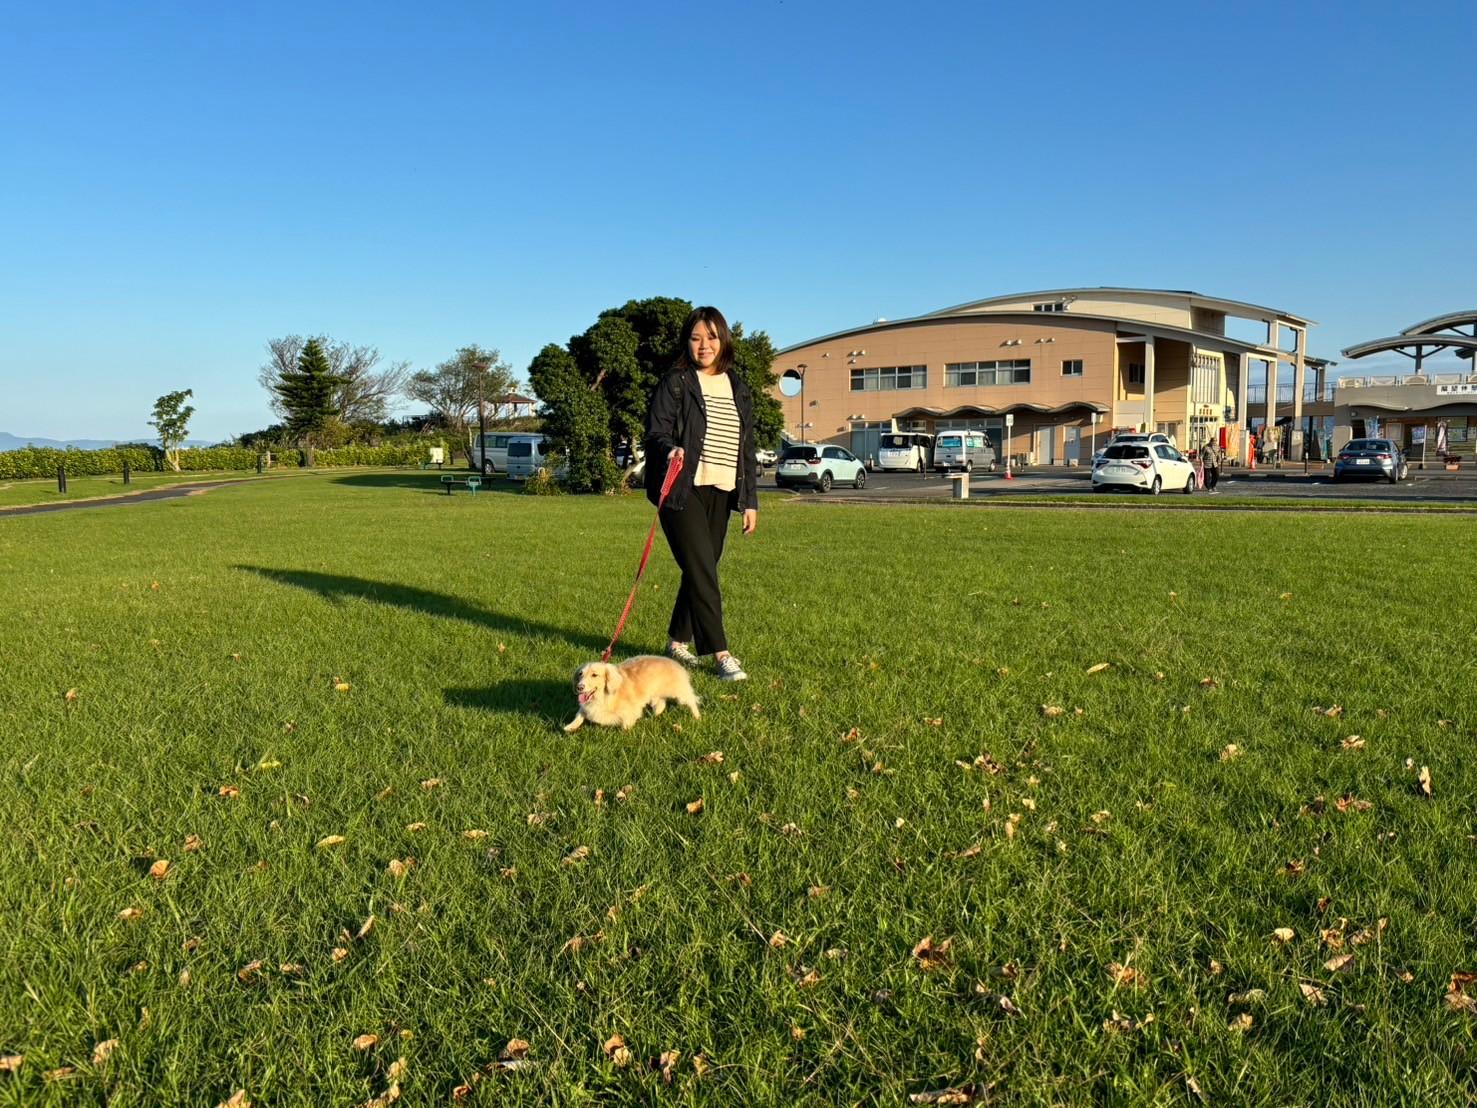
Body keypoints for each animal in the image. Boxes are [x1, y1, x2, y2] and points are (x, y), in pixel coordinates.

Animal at [564, 655, 703, 732]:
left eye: (594, 675)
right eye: (580, 674)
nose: (579, 687)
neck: (603, 698)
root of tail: (678, 665)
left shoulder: (629, 712)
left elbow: (626, 725)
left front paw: (625, 733)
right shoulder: (586, 708)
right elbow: (579, 715)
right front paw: (570, 727)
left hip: (679, 694)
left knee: (691, 701)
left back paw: (697, 717)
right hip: (656, 696)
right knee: (661, 706)